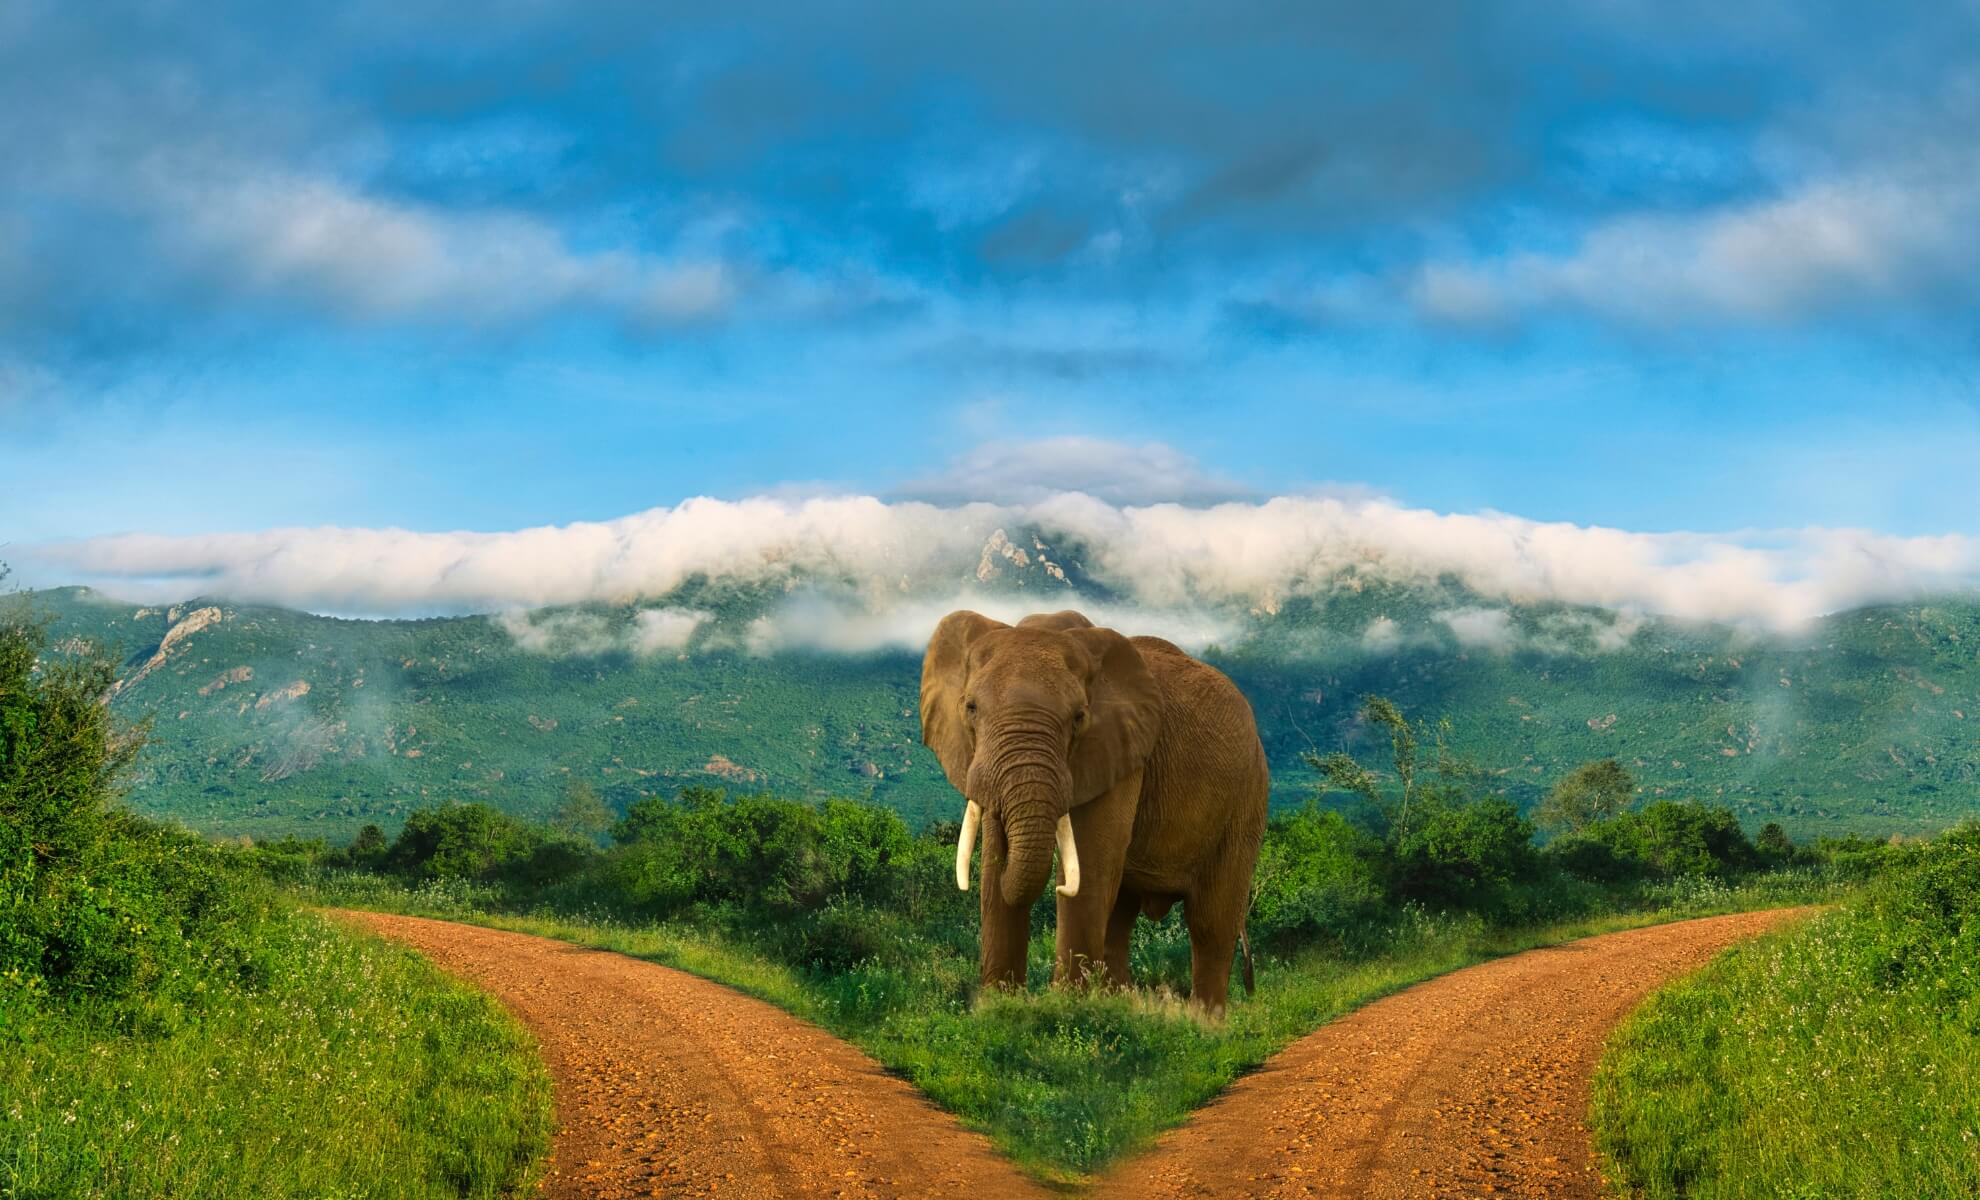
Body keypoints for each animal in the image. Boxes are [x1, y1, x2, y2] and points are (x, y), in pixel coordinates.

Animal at [914, 609, 1267, 1013]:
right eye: (970, 708)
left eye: (1079, 717)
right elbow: (995, 865)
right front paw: (999, 1007)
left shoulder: (1119, 754)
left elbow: (1090, 864)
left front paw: (1064, 1006)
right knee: (1121, 914)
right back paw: (1121, 1001)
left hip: (1248, 796)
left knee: (1211, 923)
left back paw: (1202, 1021)